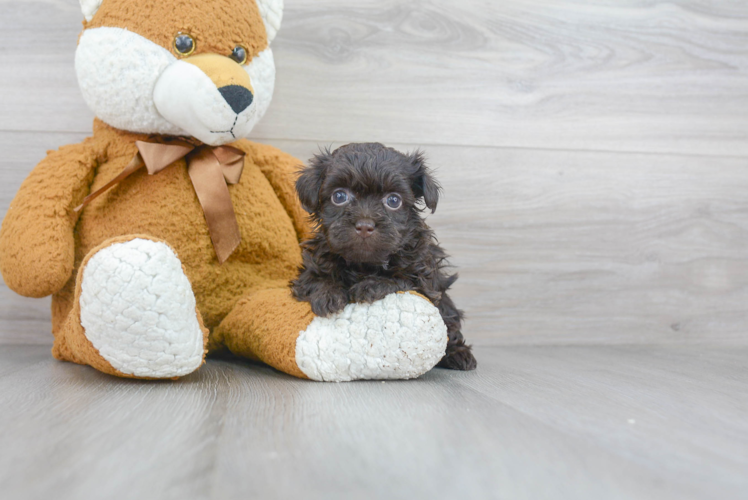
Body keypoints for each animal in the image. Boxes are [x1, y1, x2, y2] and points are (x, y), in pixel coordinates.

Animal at [290, 143, 476, 370]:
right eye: (339, 197)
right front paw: (328, 294)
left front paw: (371, 285)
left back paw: (459, 355)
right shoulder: (309, 270)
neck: (364, 264)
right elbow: (315, 279)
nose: (364, 225)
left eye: (393, 201)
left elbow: (401, 280)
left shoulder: (425, 281)